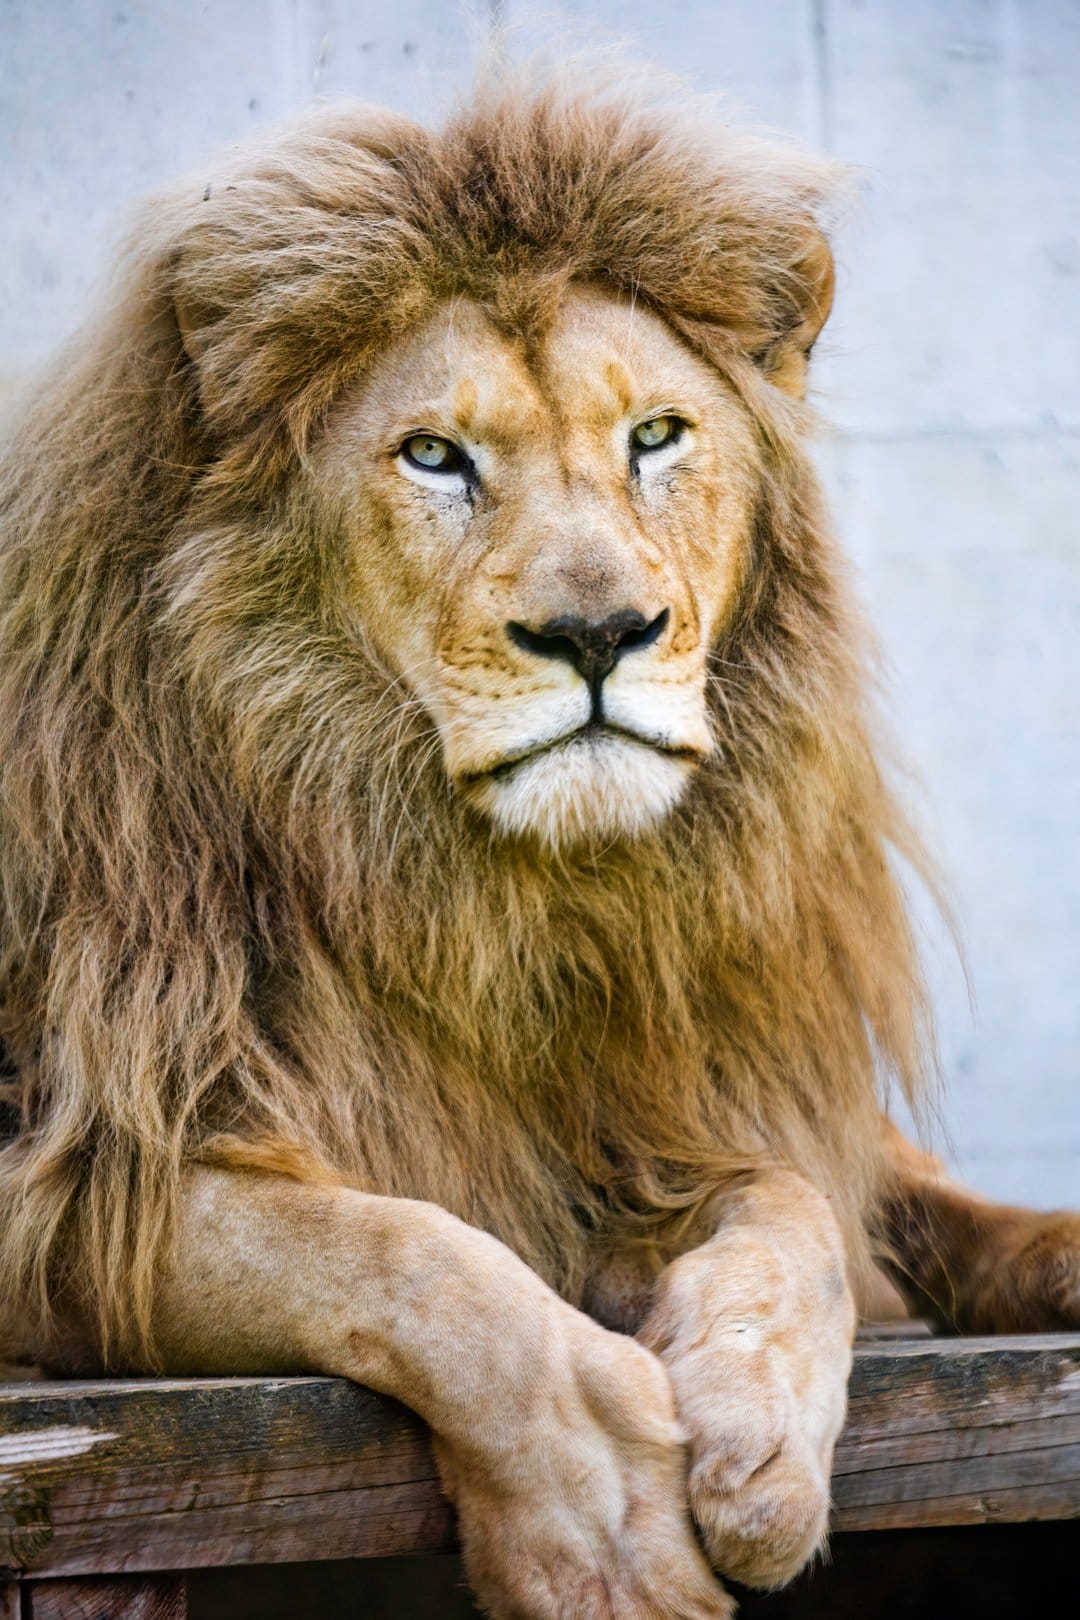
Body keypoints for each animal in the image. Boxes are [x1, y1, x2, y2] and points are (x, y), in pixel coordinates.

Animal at [1, 70, 1077, 1619]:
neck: (501, 898)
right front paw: (607, 1528)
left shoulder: (672, 1093)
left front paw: (759, 1447)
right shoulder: (86, 1166)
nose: (599, 633)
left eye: (658, 438)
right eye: (434, 456)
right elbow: (404, 1249)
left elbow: (801, 1203)